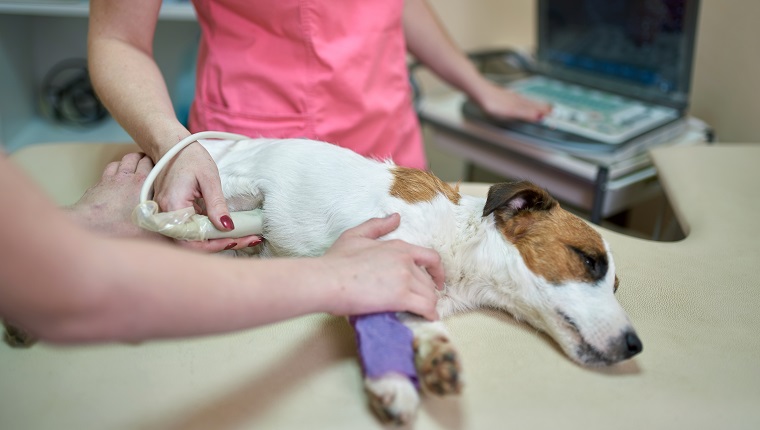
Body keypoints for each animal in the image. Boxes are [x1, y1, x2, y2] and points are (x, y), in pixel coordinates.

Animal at [200, 137, 640, 424]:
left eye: (616, 285)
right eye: (589, 261)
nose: (636, 345)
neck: (461, 241)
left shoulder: (414, 291)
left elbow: (419, 322)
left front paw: (432, 357)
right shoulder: (376, 260)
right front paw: (394, 380)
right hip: (236, 193)